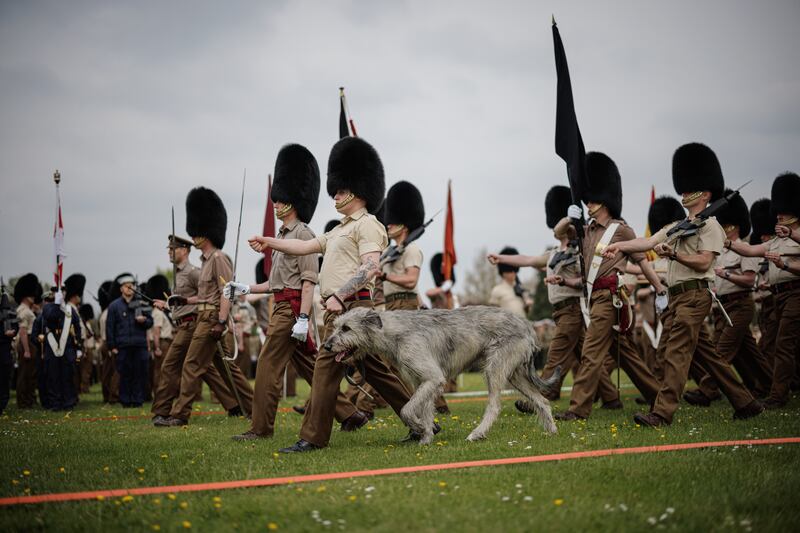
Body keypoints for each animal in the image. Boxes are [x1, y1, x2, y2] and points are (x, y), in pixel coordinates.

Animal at [322, 306, 560, 442]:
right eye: (336, 325)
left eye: (346, 328)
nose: (326, 345)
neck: (392, 331)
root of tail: (528, 326)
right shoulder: (423, 381)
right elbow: (425, 409)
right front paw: (426, 437)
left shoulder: (433, 377)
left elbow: (407, 409)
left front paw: (419, 428)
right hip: (514, 374)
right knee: (541, 401)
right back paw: (552, 431)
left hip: (494, 369)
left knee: (494, 406)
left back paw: (477, 433)